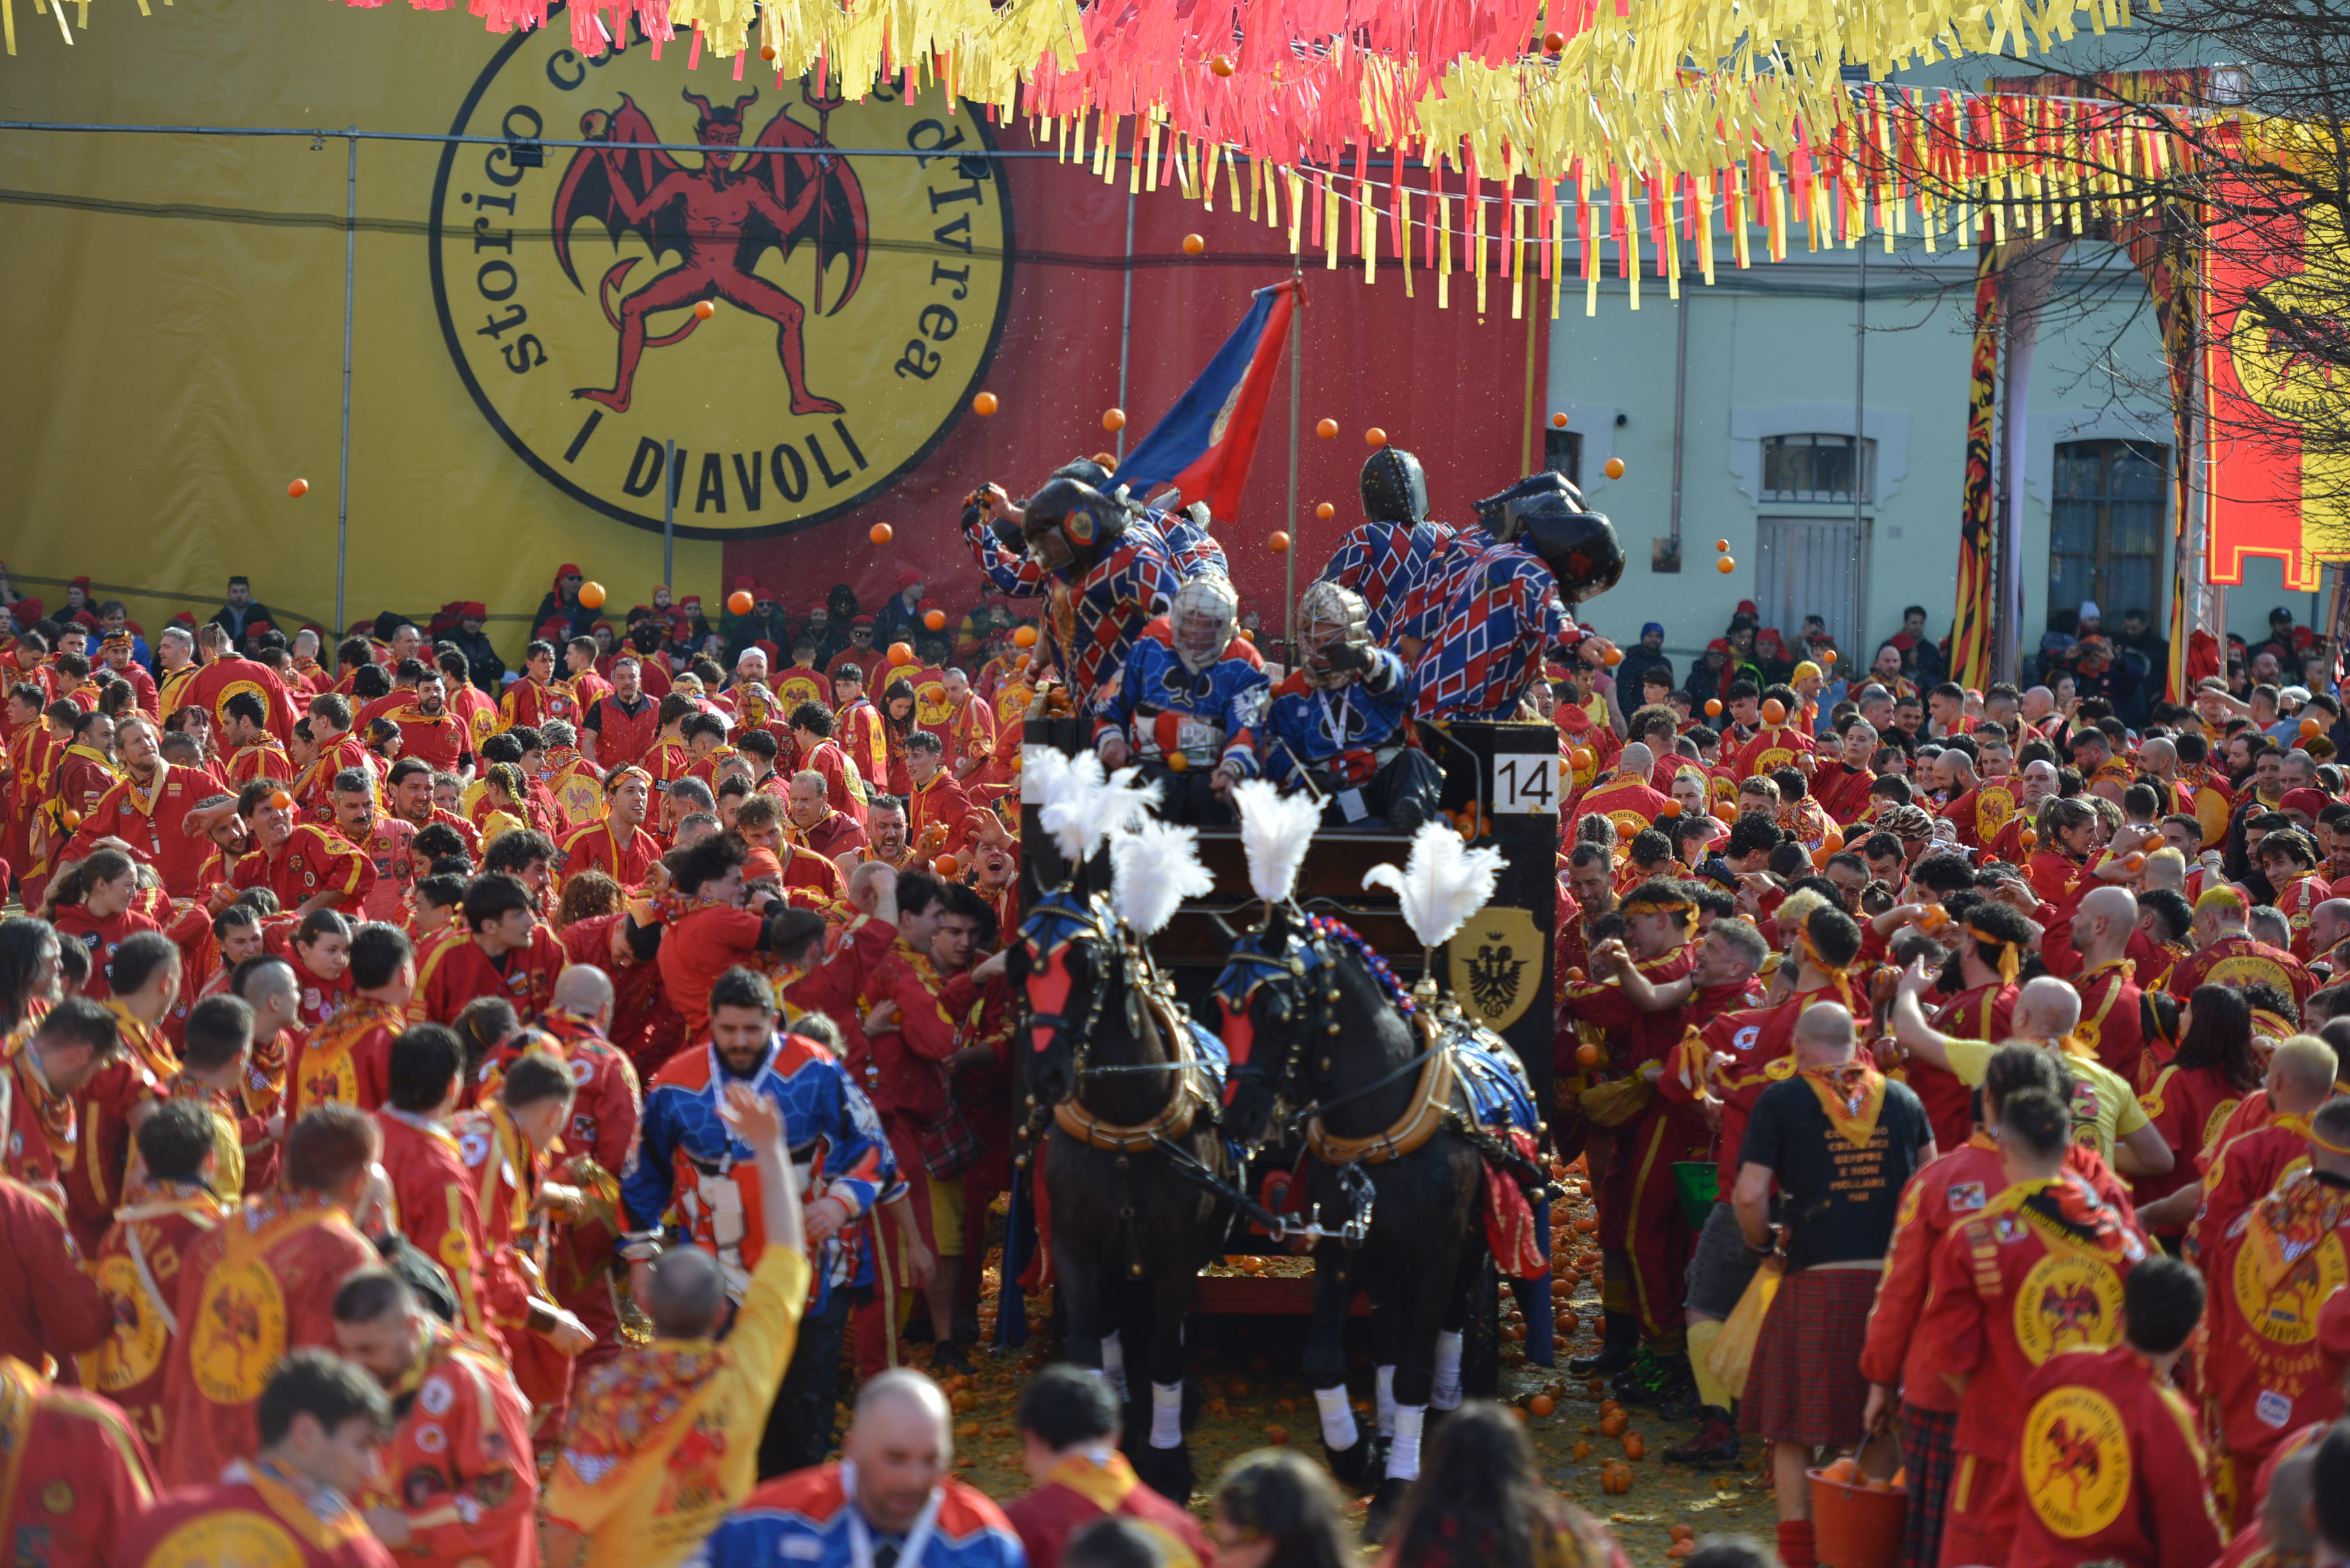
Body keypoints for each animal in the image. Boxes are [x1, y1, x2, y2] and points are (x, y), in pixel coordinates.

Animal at [1008, 883, 1235, 1502]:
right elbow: (1089, 1342)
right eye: (1018, 965)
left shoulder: (1179, 1257)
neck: (1124, 1130)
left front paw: (1167, 1459)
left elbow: (1164, 1353)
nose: (1045, 1077)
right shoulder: (1073, 1248)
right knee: (1112, 1326)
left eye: (1087, 967)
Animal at [1213, 903, 1534, 1533]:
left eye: (1278, 1016)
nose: (1239, 1118)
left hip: (1471, 1245)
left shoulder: (1436, 1253)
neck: (1378, 1131)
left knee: (1447, 1324)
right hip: (1386, 1259)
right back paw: (1387, 1439)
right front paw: (1356, 1452)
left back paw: (1441, 1412)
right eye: (1220, 1004)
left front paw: (1396, 1487)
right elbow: (1324, 1360)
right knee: (1387, 1339)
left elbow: (1414, 1368)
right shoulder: (1341, 1247)